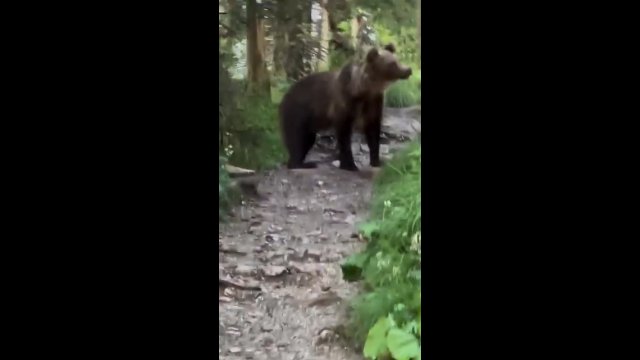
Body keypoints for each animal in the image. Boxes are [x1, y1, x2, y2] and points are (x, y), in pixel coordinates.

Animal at [278, 43, 410, 170]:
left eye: (397, 60)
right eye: (392, 63)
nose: (408, 69)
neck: (363, 90)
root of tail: (284, 97)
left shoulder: (373, 101)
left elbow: (373, 130)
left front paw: (376, 161)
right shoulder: (345, 101)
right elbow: (344, 133)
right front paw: (350, 165)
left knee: (307, 139)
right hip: (298, 111)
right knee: (297, 138)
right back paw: (303, 164)